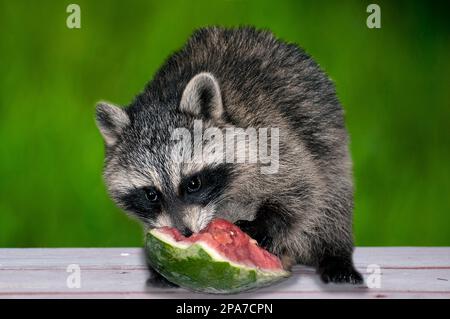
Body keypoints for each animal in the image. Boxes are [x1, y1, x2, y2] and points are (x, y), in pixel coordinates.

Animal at [95, 26, 362, 284]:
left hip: (330, 144)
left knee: (331, 199)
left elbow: (302, 186)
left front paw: (267, 223)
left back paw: (335, 253)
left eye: (194, 183)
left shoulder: (269, 132)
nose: (186, 234)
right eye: (151, 194)